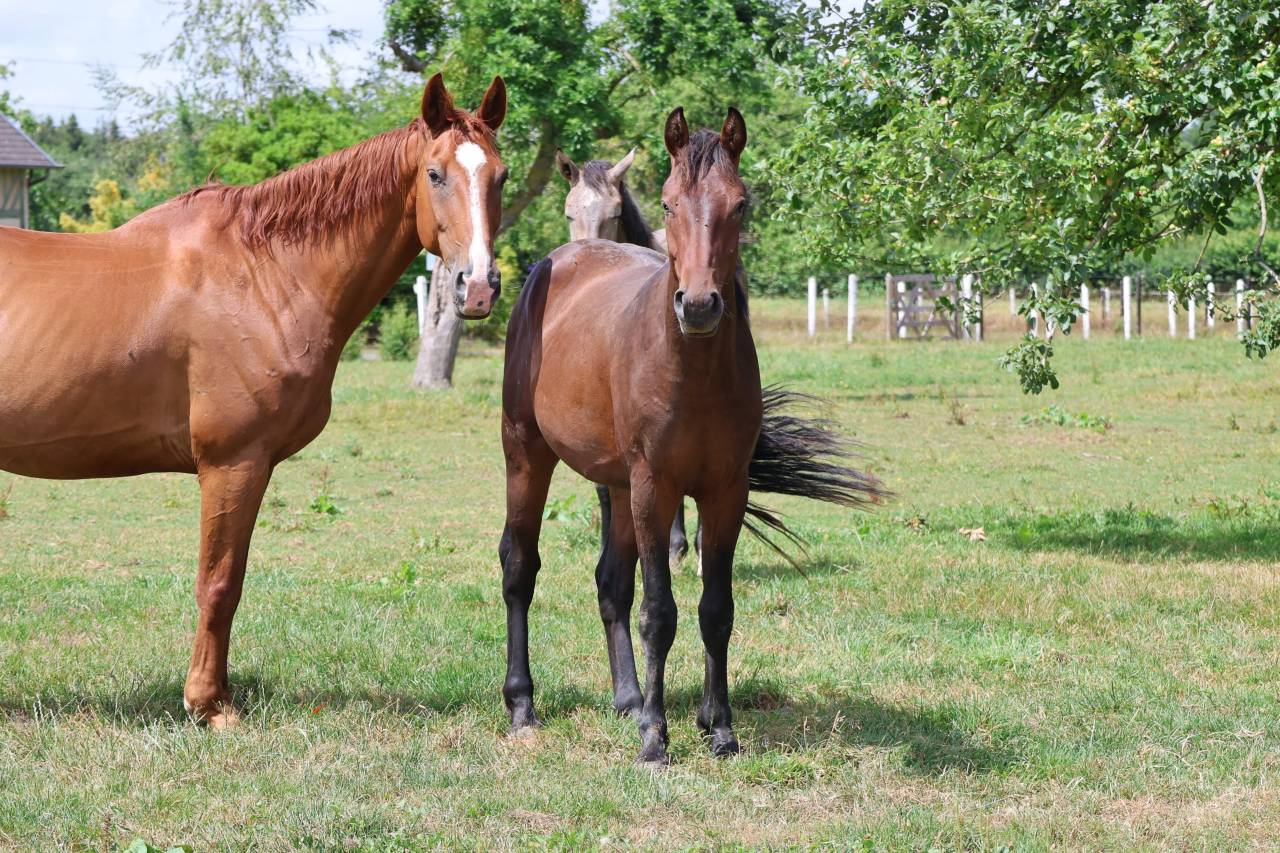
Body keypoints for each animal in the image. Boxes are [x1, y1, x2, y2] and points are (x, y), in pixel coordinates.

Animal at [0, 73, 508, 728]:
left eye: (500, 176)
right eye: (435, 174)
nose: (479, 287)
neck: (264, 273)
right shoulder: (233, 463)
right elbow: (219, 583)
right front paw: (209, 705)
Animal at [501, 107, 885, 764]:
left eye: (741, 203)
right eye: (668, 202)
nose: (700, 305)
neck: (692, 371)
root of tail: (558, 265)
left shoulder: (723, 491)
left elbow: (715, 608)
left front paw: (719, 726)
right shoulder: (657, 488)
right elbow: (660, 611)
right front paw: (656, 740)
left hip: (617, 485)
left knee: (610, 581)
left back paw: (629, 699)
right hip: (528, 455)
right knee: (519, 567)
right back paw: (524, 705)